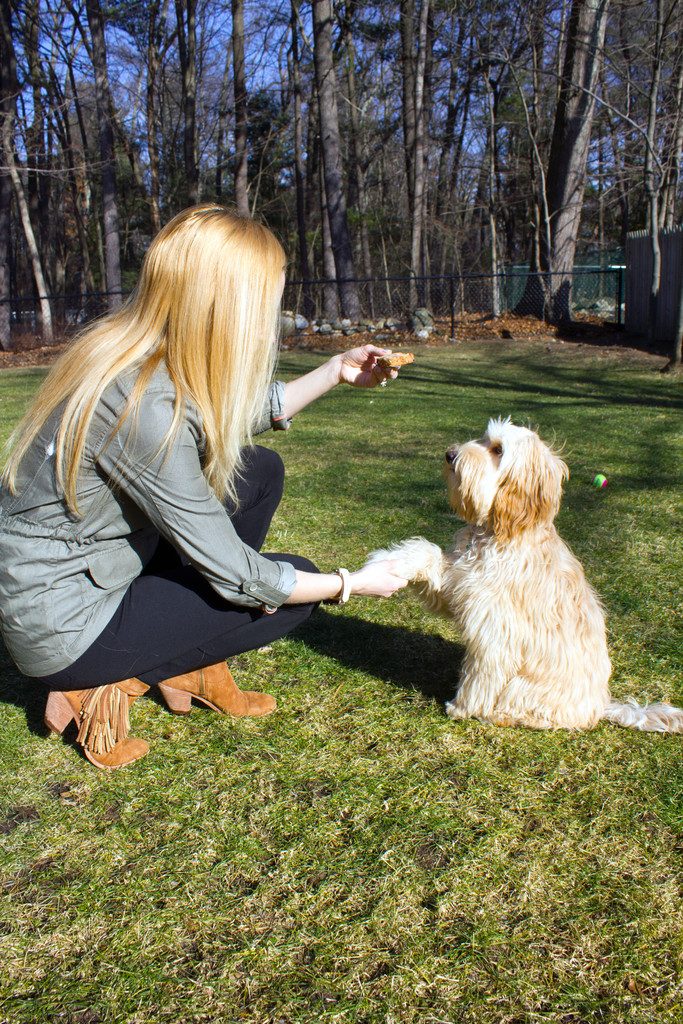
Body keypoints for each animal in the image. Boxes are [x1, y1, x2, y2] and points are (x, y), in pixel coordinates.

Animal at [368, 419, 683, 733]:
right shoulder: (458, 583)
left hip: (527, 687)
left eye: (498, 450)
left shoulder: (495, 627)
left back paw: (504, 715)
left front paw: (462, 708)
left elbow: (483, 674)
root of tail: (602, 705)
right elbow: (428, 554)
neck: (501, 532)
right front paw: (392, 561)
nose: (450, 454)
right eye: (483, 438)